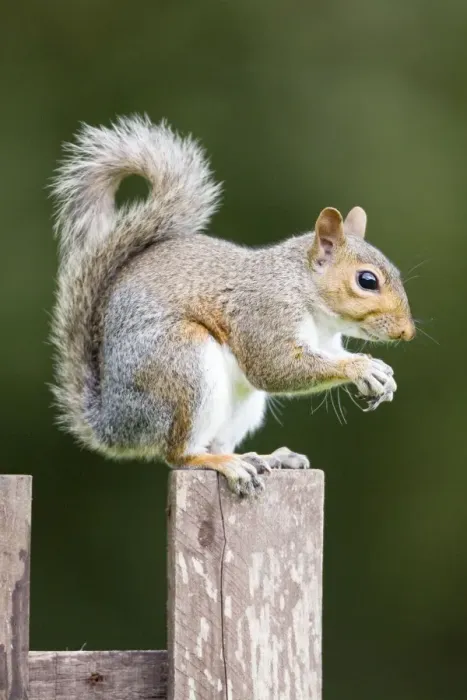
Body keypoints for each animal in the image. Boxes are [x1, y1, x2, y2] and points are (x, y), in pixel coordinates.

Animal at [50, 115, 415, 496]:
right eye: (367, 280)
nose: (407, 332)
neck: (308, 297)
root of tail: (114, 424)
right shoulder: (264, 312)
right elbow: (274, 366)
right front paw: (361, 368)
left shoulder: (326, 342)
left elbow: (329, 356)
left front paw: (381, 373)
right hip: (181, 365)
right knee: (180, 455)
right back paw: (225, 463)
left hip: (241, 406)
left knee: (216, 442)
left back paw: (263, 457)